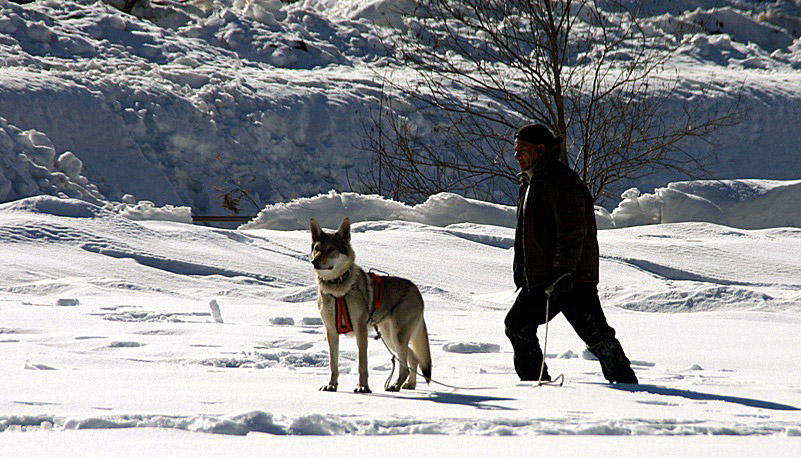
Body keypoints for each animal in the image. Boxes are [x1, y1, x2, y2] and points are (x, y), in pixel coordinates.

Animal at [310, 216, 432, 392]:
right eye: (317, 248)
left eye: (331, 249)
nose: (314, 261)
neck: (338, 290)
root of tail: (416, 290)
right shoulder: (331, 332)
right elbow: (333, 365)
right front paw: (331, 385)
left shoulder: (361, 332)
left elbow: (362, 365)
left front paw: (362, 387)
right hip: (390, 338)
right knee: (413, 358)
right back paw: (409, 384)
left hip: (397, 337)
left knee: (405, 366)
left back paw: (395, 385)